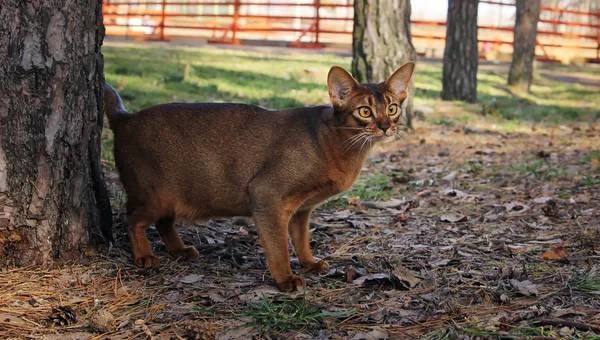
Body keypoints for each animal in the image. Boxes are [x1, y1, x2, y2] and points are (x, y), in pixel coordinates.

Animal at [104, 62, 412, 290]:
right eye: (365, 111)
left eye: (392, 108)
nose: (386, 126)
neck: (334, 141)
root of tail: (125, 118)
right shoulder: (267, 194)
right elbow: (278, 246)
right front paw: (286, 278)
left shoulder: (303, 209)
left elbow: (301, 239)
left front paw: (309, 263)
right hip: (156, 194)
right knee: (133, 219)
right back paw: (145, 255)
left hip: (174, 195)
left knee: (164, 221)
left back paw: (180, 250)